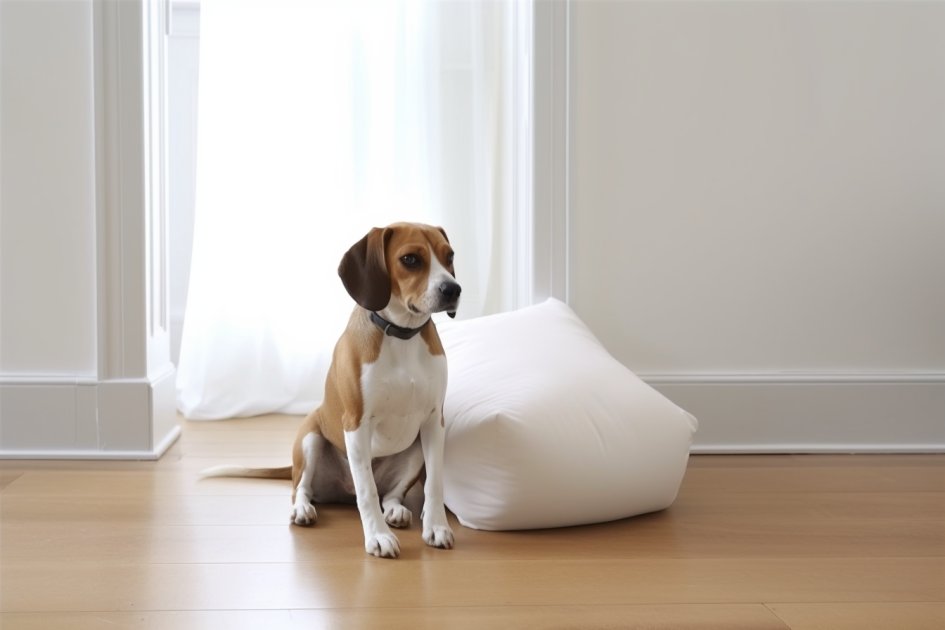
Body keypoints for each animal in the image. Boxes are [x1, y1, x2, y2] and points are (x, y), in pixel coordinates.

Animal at [203, 222, 460, 556]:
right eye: (411, 259)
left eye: (449, 256)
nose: (453, 290)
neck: (401, 335)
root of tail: (341, 491)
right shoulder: (356, 422)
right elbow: (366, 490)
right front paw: (377, 536)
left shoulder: (432, 421)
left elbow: (434, 484)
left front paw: (437, 527)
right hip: (310, 440)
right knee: (302, 488)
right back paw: (303, 509)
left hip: (414, 450)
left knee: (389, 494)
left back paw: (395, 510)